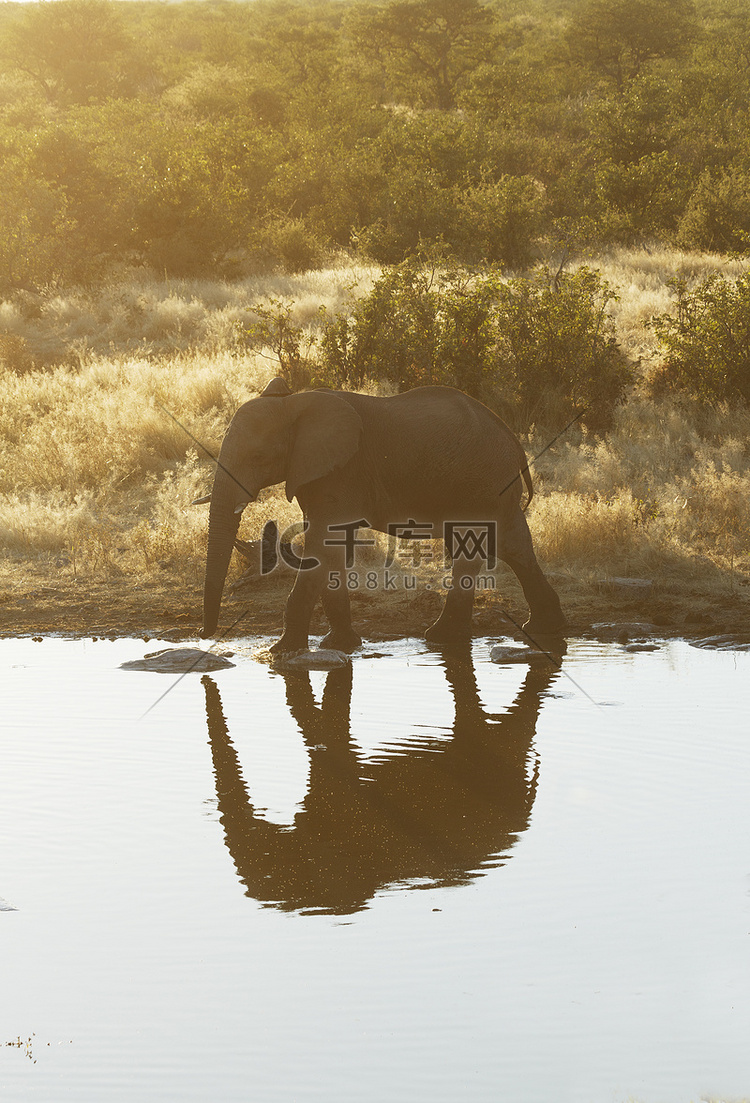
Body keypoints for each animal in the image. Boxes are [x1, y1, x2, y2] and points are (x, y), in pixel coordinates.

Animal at [201, 379, 564, 652]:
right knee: (512, 544)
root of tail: (514, 442)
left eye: (258, 456)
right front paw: (340, 645)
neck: (292, 404)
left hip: (484, 481)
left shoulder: (340, 471)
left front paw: (280, 652)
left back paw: (444, 637)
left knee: (482, 543)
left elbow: (322, 545)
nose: (205, 636)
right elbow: (331, 548)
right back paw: (536, 629)